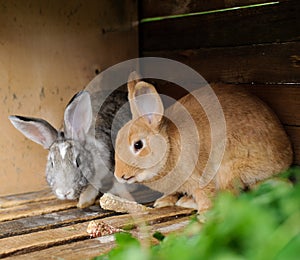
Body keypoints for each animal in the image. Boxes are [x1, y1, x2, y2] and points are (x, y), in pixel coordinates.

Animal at [113, 74, 292, 212]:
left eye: (138, 145)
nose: (119, 175)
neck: (168, 148)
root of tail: (284, 162)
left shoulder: (198, 175)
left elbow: (204, 193)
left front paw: (205, 212)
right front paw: (163, 201)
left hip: (230, 167)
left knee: (229, 196)